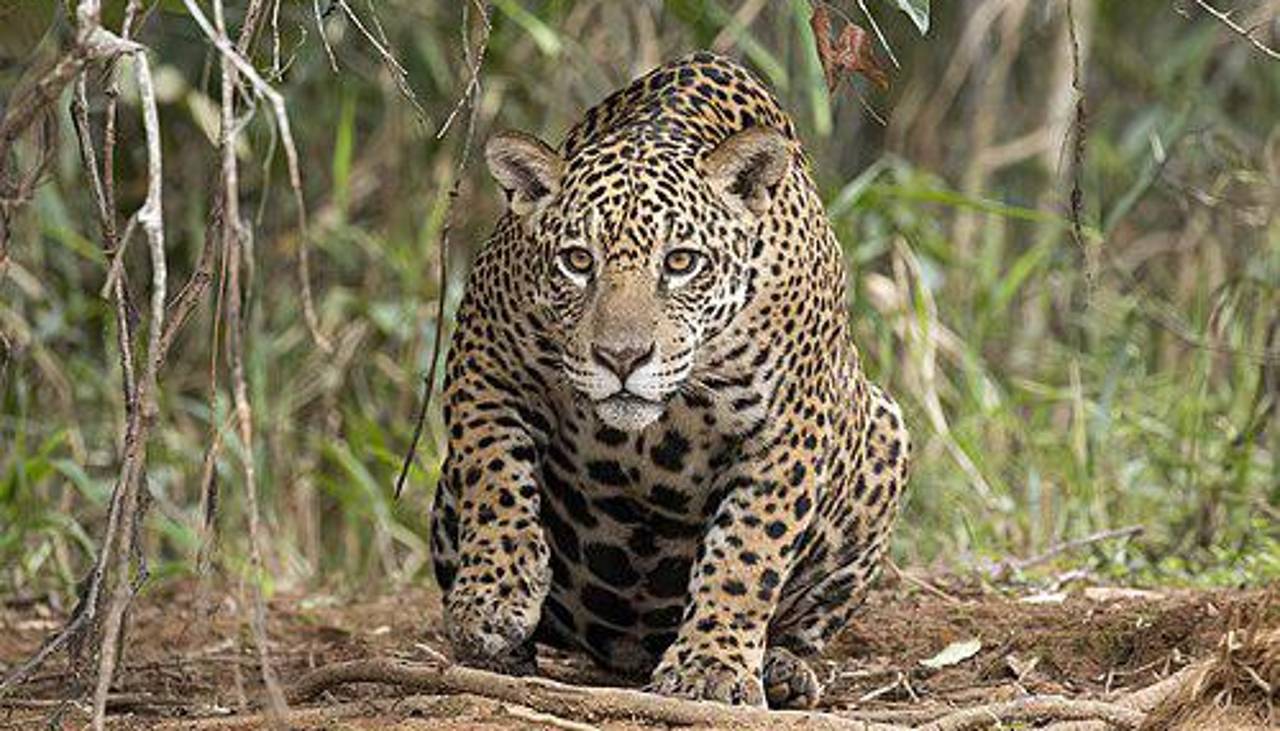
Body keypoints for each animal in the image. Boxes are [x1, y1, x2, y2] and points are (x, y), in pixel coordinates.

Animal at [430, 51, 910, 709]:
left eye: (681, 262)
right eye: (577, 261)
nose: (621, 357)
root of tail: (628, 650)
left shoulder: (790, 427)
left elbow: (747, 550)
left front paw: (711, 665)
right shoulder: (485, 358)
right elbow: (494, 473)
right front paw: (493, 597)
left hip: (886, 433)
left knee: (803, 621)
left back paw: (782, 670)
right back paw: (502, 655)